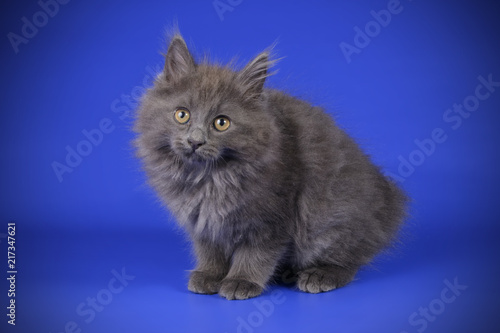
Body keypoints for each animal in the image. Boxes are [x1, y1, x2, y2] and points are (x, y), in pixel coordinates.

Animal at [133, 32, 406, 300]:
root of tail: (390, 200)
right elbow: (210, 251)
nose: (195, 141)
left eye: (221, 123)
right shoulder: (203, 223)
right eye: (182, 115)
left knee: (348, 258)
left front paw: (241, 281)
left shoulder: (271, 218)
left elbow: (256, 254)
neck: (208, 178)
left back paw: (319, 275)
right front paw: (209, 275)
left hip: (330, 219)